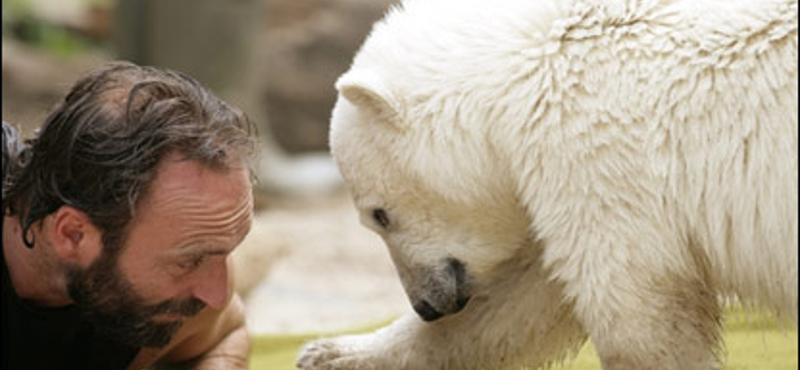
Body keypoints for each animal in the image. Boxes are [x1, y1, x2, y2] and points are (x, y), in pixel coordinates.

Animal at [296, 0, 796, 368]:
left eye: (380, 215)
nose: (427, 305)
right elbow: (523, 297)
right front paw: (330, 352)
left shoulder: (594, 153)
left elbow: (637, 314)